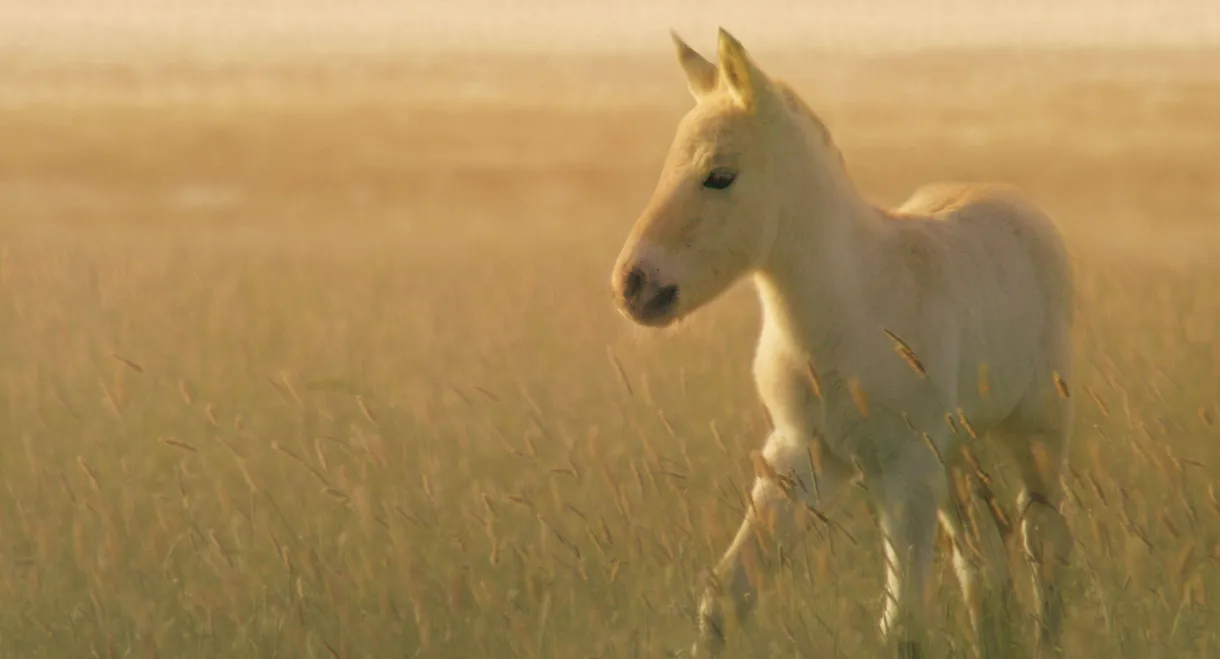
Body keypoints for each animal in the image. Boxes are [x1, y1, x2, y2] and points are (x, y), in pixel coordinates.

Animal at [609, 28, 1076, 659]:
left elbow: (902, 624)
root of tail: (1016, 202)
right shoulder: (799, 457)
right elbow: (726, 594)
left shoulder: (904, 469)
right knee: (983, 563)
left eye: (719, 175)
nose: (633, 285)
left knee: (1044, 542)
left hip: (1035, 429)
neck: (846, 311)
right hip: (957, 453)